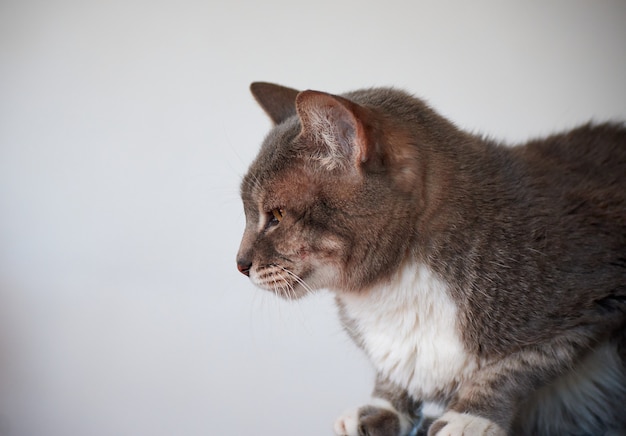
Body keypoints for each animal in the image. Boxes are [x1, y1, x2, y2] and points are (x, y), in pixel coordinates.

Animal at [235, 82, 624, 436]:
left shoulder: (594, 303)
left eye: (277, 216)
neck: (389, 287)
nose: (239, 264)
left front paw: (470, 417)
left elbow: (511, 369)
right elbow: (391, 376)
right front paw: (382, 407)